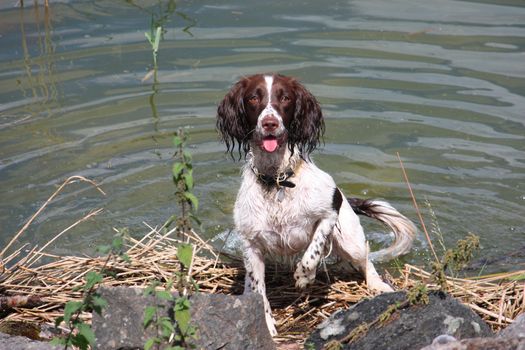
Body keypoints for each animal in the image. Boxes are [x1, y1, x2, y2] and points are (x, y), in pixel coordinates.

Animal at [215, 74, 416, 336]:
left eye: (285, 98)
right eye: (253, 98)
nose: (269, 123)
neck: (277, 181)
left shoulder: (329, 212)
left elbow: (314, 249)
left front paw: (304, 276)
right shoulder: (251, 244)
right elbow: (259, 290)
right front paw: (265, 323)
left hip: (351, 240)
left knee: (366, 259)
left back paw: (377, 285)